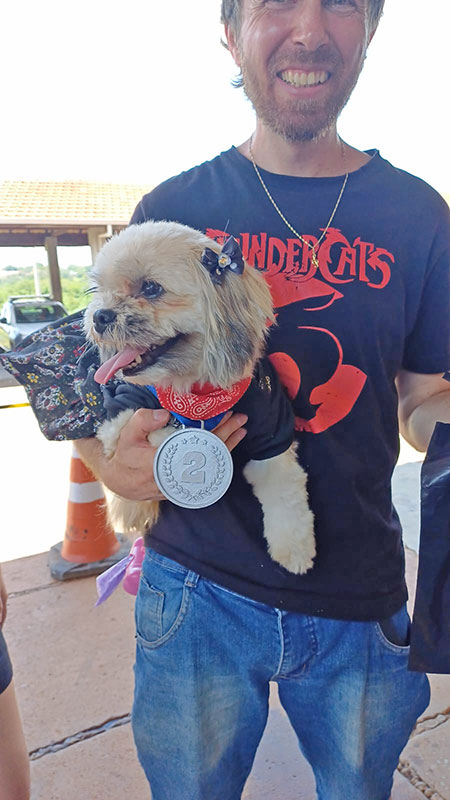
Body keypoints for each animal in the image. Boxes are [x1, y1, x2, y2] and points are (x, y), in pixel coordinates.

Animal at [84, 220, 315, 574]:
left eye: (151, 288)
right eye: (99, 291)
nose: (100, 316)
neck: (196, 390)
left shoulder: (272, 434)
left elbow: (285, 491)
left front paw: (295, 549)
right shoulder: (120, 412)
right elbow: (158, 434)